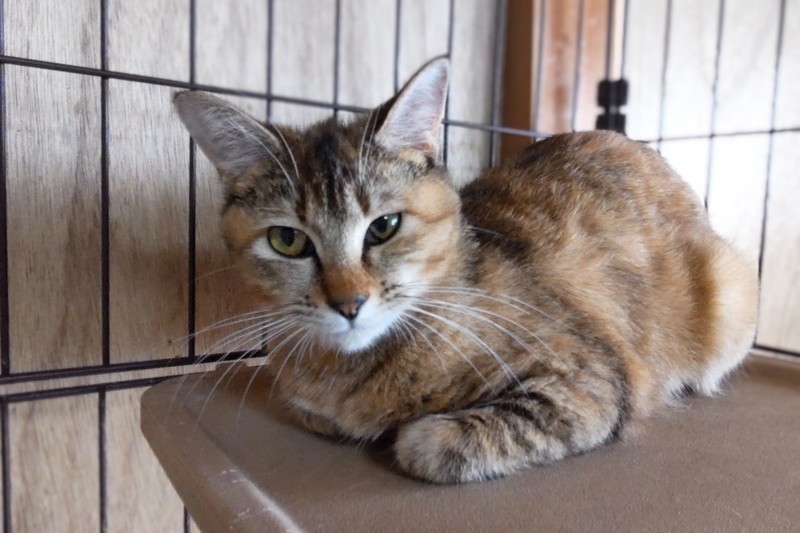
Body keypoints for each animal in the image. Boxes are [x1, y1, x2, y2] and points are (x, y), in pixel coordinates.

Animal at [173, 57, 758, 484]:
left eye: (384, 226)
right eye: (288, 240)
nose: (348, 304)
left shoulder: (591, 378)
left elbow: (434, 442)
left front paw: (410, 434)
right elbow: (313, 411)